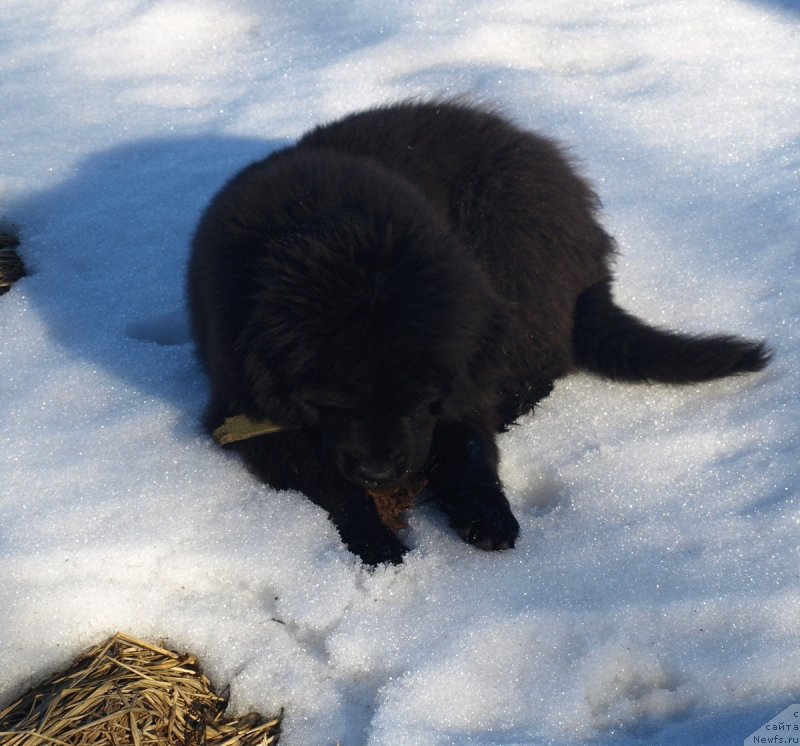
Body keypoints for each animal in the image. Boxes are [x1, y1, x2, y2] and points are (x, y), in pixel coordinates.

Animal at [188, 100, 768, 564]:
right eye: (331, 401)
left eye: (418, 402)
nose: (379, 472)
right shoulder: (244, 410)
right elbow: (330, 483)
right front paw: (376, 541)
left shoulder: (457, 377)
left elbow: (470, 445)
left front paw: (486, 512)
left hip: (504, 238)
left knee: (541, 363)